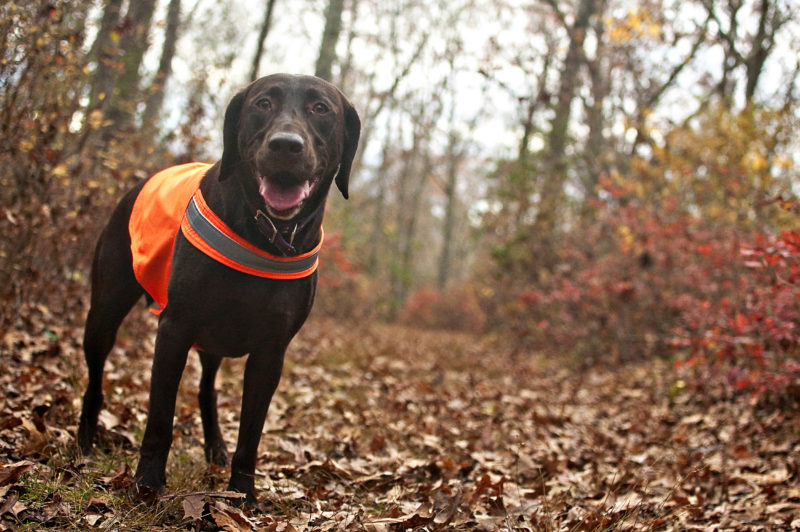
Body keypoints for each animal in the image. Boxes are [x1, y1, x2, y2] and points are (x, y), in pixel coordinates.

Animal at [77, 74, 360, 502]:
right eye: (262, 103)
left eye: (320, 109)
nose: (285, 145)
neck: (263, 234)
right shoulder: (174, 330)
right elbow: (159, 419)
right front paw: (147, 484)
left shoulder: (270, 353)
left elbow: (251, 434)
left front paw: (242, 494)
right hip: (105, 314)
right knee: (95, 376)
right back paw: (84, 438)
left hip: (213, 341)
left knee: (206, 389)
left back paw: (215, 448)